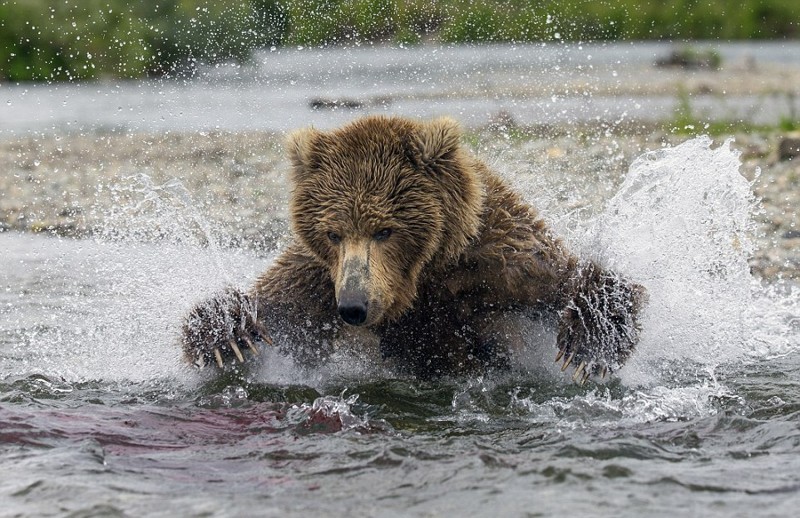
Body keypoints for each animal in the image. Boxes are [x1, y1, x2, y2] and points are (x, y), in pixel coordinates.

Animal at [181, 116, 644, 384]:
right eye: (333, 233)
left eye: (385, 230)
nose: (353, 307)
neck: (420, 281)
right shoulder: (318, 280)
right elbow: (277, 308)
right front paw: (227, 334)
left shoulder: (499, 260)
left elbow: (566, 280)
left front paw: (587, 345)